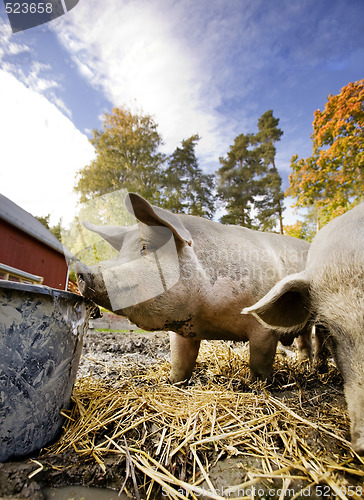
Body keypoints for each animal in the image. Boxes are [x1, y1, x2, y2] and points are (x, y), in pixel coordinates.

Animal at [74, 191, 310, 382]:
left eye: (145, 247)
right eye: (121, 253)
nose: (81, 268)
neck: (210, 317)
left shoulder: (264, 328)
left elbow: (259, 362)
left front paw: (255, 385)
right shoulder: (183, 331)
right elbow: (180, 363)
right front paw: (173, 382)